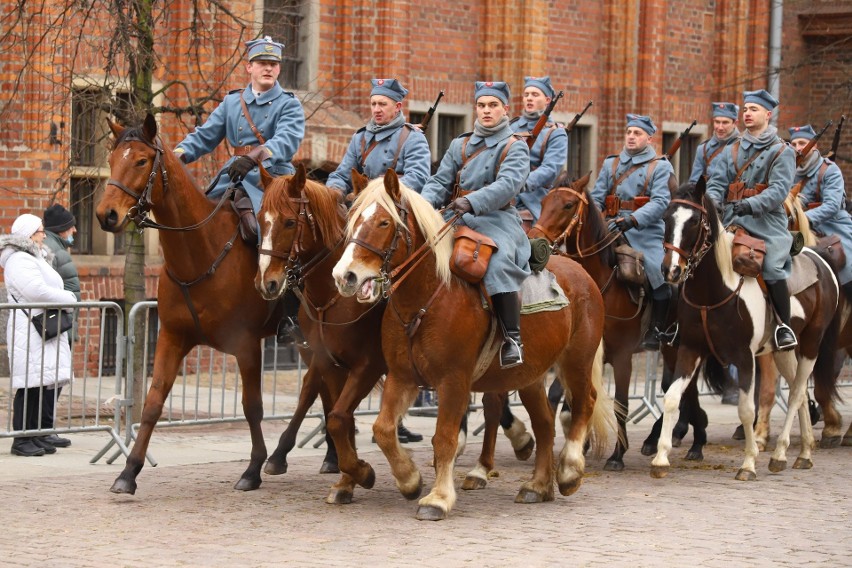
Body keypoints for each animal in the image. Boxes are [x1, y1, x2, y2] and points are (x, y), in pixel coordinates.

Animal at [95, 114, 282, 492]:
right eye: (111, 159)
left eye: (141, 161)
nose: (106, 214)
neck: (202, 250)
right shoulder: (171, 336)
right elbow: (152, 402)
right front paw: (128, 471)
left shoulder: (246, 344)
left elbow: (252, 406)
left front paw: (253, 467)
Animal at [328, 172, 612, 520]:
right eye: (352, 219)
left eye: (384, 222)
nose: (345, 276)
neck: (428, 296)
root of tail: (581, 273)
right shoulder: (401, 377)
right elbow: (383, 429)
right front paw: (409, 479)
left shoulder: (454, 381)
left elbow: (445, 438)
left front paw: (437, 498)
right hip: (530, 376)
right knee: (545, 423)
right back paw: (537, 486)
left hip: (576, 361)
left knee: (584, 403)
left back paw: (569, 471)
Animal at [656, 180, 836, 482]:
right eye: (666, 218)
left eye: (694, 221)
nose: (671, 270)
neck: (714, 291)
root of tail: (819, 261)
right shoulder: (690, 349)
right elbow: (671, 398)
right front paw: (660, 459)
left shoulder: (744, 358)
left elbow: (746, 409)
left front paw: (749, 463)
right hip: (783, 352)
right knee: (798, 395)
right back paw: (802, 454)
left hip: (812, 343)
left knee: (797, 393)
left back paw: (780, 453)